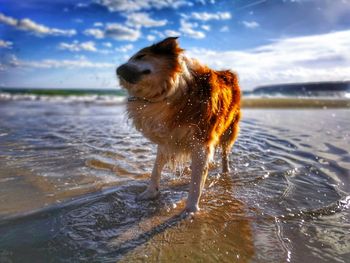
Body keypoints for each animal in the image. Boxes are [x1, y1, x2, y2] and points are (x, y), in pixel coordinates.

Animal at [117, 37, 241, 213]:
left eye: (141, 56)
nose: (118, 70)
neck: (171, 91)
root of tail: (228, 72)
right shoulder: (168, 137)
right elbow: (155, 169)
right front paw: (150, 193)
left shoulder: (202, 142)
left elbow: (196, 182)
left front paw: (191, 210)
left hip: (229, 129)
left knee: (225, 153)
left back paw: (226, 171)